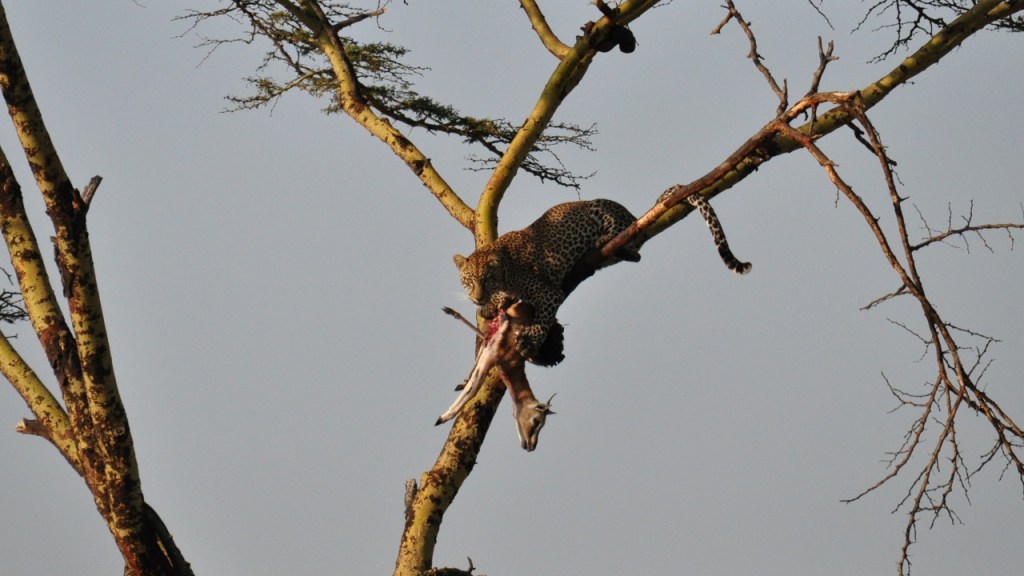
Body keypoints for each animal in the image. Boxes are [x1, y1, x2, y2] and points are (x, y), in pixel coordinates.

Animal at [453, 196, 749, 362]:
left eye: (487, 279)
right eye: (468, 281)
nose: (477, 297)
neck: (505, 268)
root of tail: (633, 215)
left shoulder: (549, 293)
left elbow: (543, 319)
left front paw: (530, 340)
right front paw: (493, 305)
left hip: (601, 209)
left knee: (633, 248)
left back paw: (604, 241)